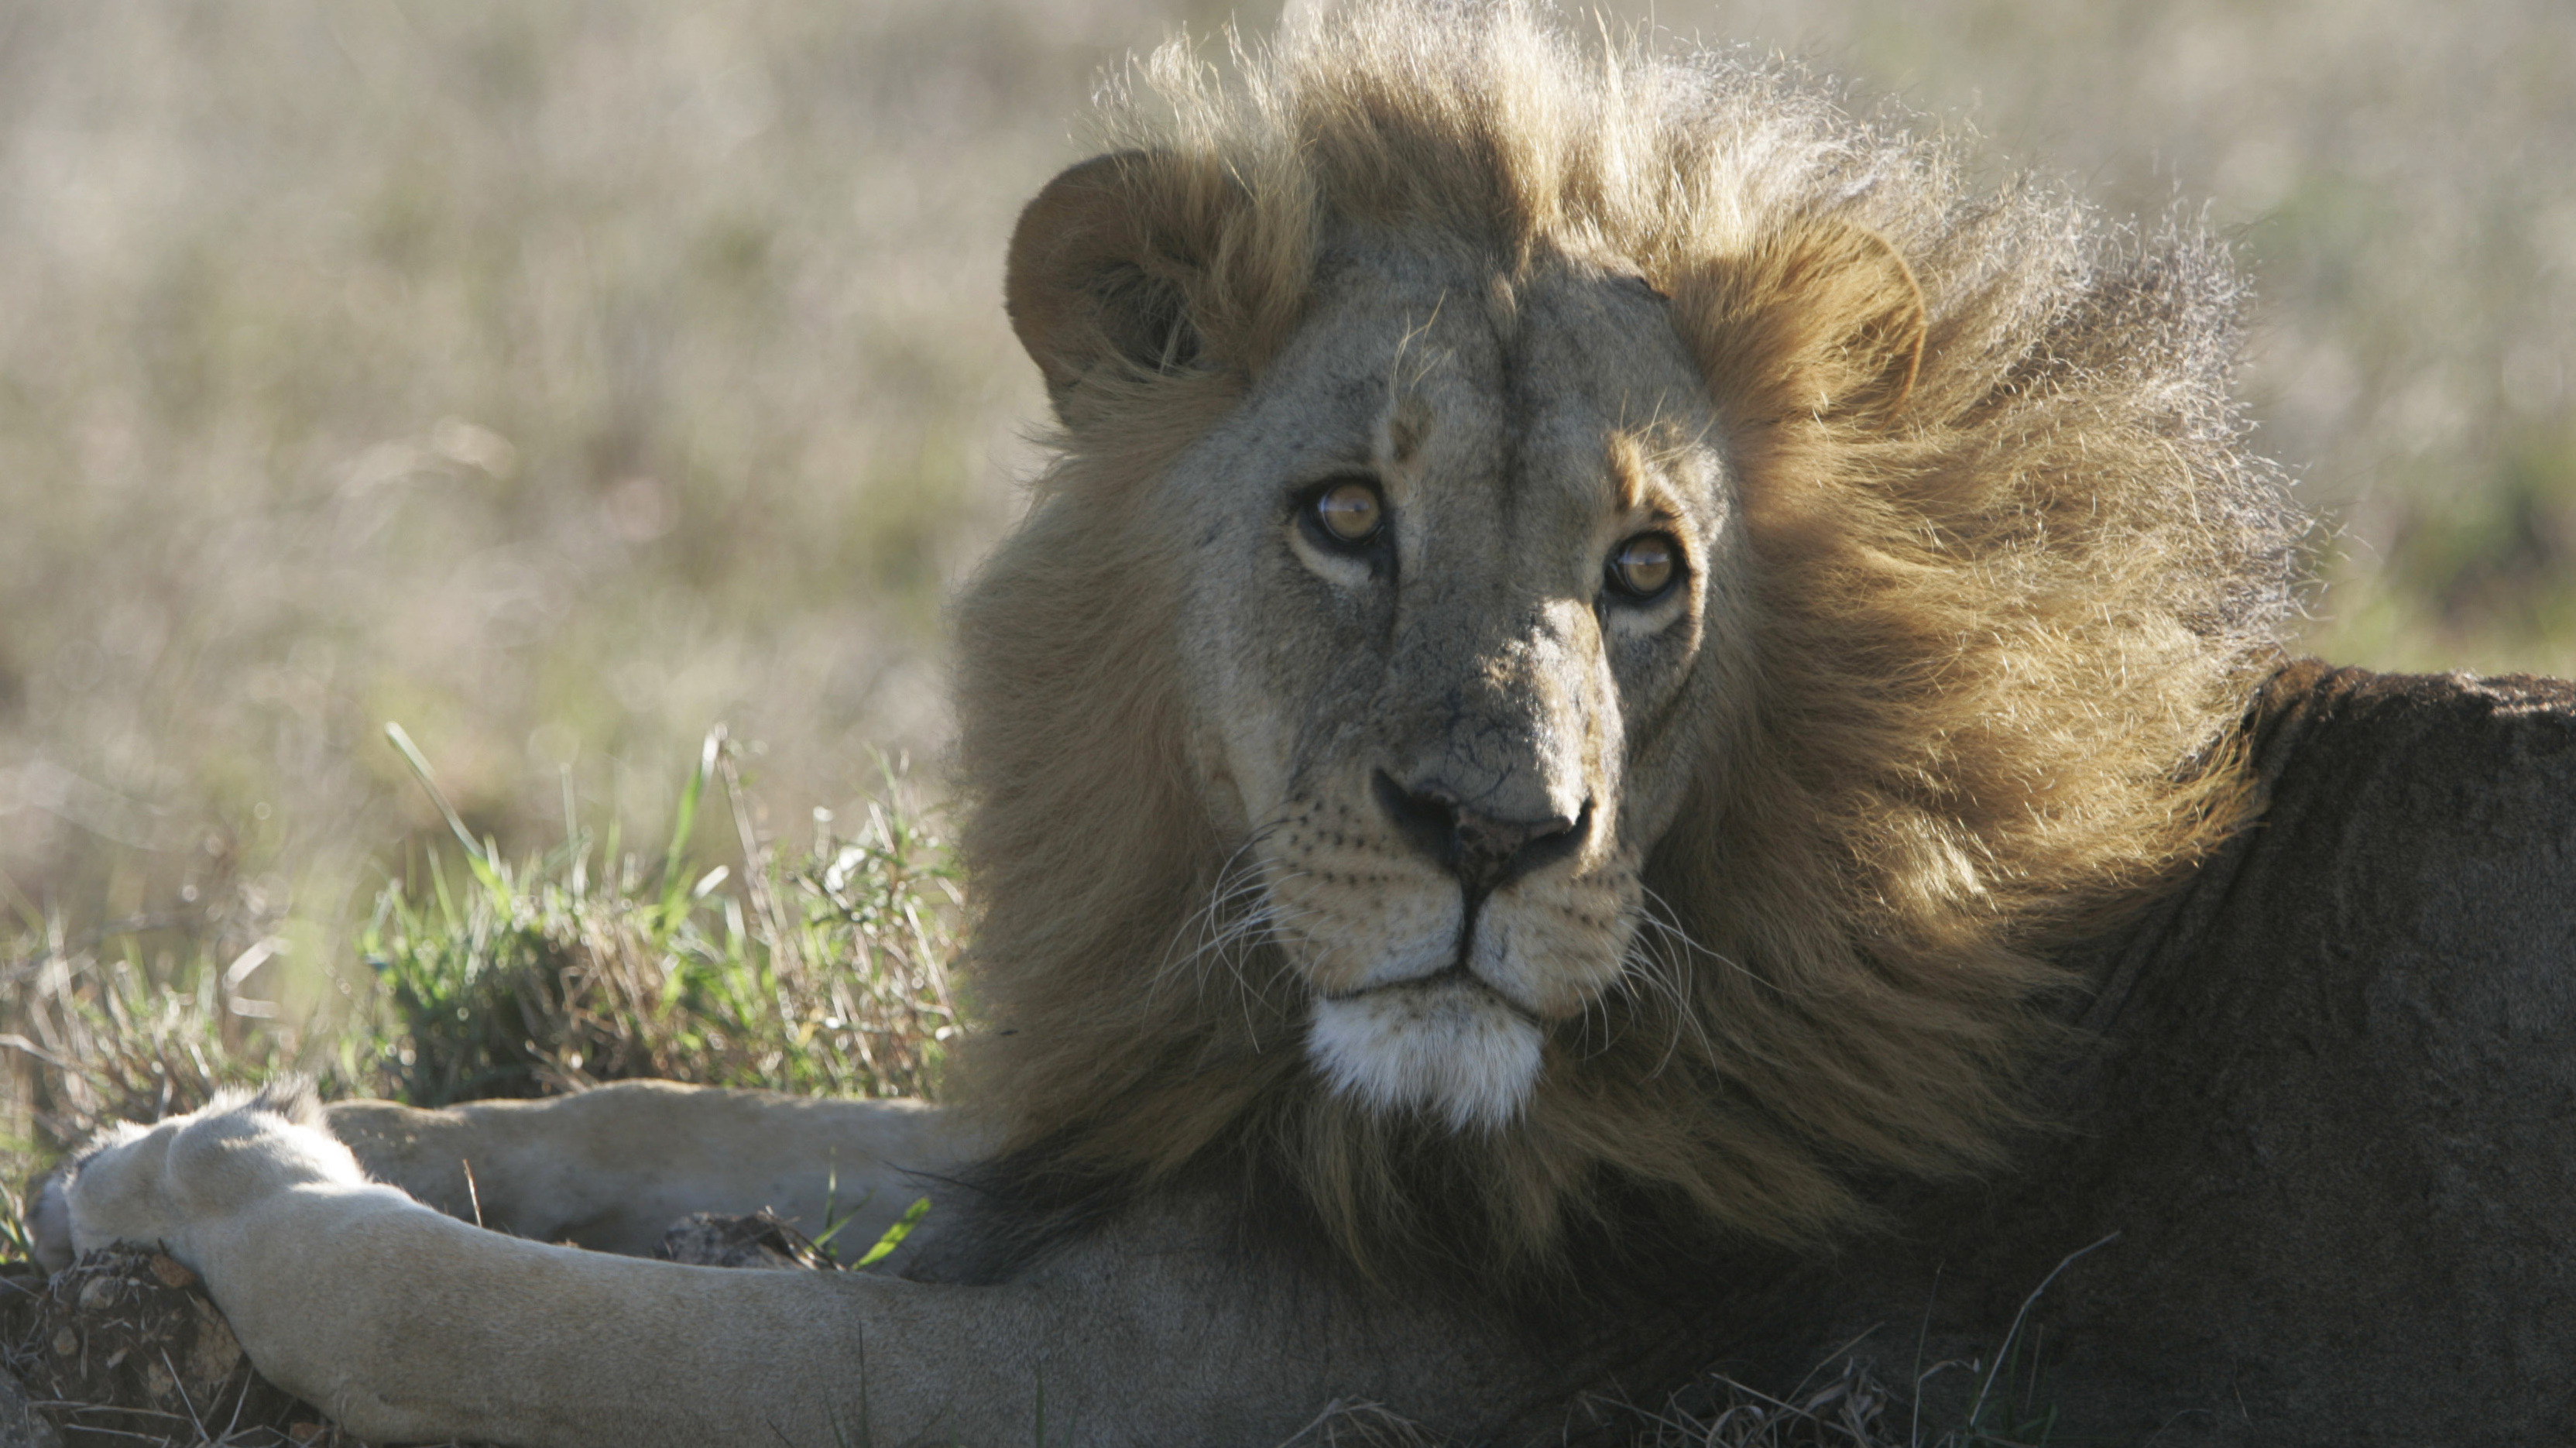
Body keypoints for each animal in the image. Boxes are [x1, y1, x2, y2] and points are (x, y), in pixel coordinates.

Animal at [32, 5, 2576, 1445]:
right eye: (1345, 513)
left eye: (1645, 571)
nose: (1494, 835)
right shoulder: (1173, 1121)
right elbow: (689, 1110)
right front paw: (244, 1124)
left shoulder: (1201, 1374)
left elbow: (531, 1327)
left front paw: (246, 1190)